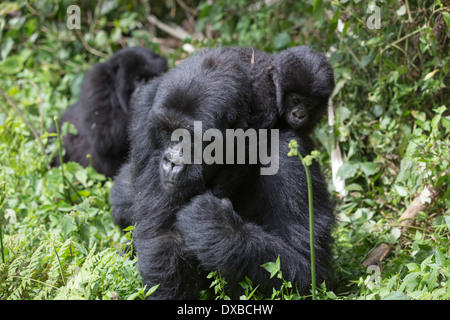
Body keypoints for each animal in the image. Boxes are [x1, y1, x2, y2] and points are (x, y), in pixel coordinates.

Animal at [109, 47, 334, 300]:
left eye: (190, 137)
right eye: (167, 132)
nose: (170, 162)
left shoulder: (285, 150)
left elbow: (310, 268)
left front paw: (216, 225)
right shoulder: (144, 115)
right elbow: (163, 237)